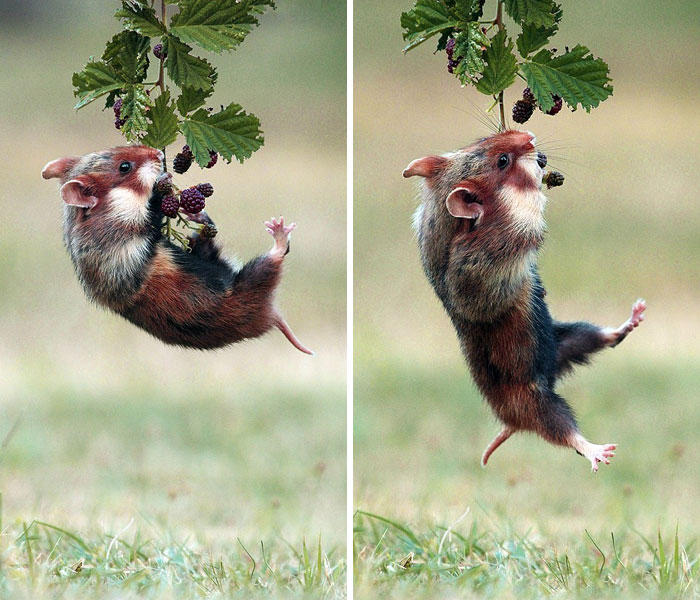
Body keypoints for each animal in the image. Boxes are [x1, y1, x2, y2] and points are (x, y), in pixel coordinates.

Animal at [42, 145, 313, 354]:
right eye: (124, 167)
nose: (158, 154)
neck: (104, 213)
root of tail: (271, 315)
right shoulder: (130, 234)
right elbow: (154, 211)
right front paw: (162, 183)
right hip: (252, 280)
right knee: (275, 258)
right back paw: (279, 231)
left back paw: (198, 217)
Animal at [404, 130, 645, 471]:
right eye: (502, 161)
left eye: (483, 139)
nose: (529, 135)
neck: (448, 222)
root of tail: (510, 423)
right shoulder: (483, 260)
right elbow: (525, 218)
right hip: (536, 403)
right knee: (564, 432)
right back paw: (598, 452)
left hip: (564, 339)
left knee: (602, 337)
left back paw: (634, 317)